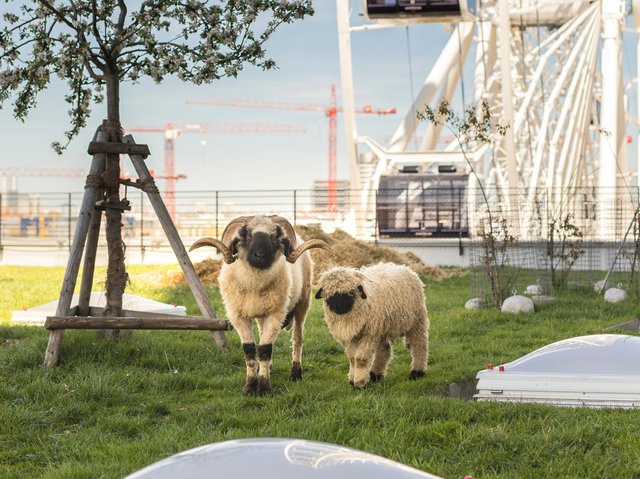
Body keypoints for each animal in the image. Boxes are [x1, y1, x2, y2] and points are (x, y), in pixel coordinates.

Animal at [189, 216, 330, 396]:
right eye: (246, 235)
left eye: (275, 236)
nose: (260, 255)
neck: (254, 284)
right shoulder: (238, 315)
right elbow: (250, 349)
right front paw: (250, 386)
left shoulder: (275, 314)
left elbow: (264, 349)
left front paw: (263, 388)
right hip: (262, 315)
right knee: (264, 334)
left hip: (302, 302)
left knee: (297, 339)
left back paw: (295, 373)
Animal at [314, 262, 428, 390]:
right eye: (329, 294)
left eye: (351, 292)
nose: (339, 308)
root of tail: (402, 266)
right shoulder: (351, 337)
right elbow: (352, 358)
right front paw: (353, 380)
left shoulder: (369, 334)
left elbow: (360, 358)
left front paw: (360, 383)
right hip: (381, 327)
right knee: (384, 350)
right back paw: (375, 375)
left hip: (417, 320)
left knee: (419, 345)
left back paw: (417, 372)